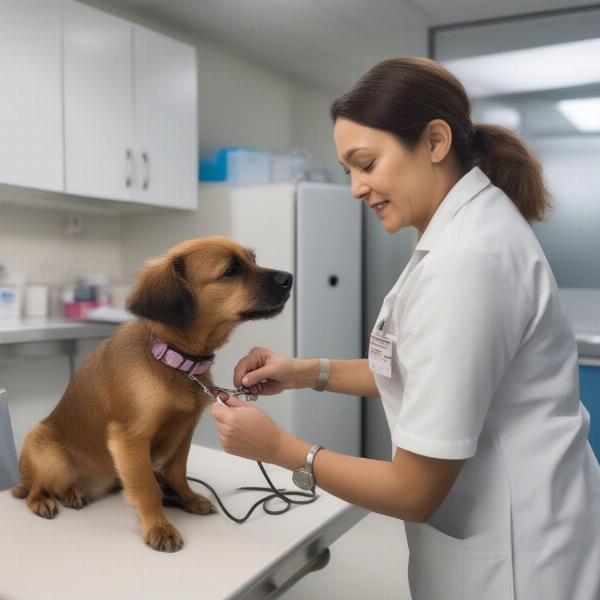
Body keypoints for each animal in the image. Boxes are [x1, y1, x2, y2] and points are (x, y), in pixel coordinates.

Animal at [11, 236, 292, 552]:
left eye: (253, 259)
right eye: (231, 270)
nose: (289, 278)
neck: (171, 361)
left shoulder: (184, 430)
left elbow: (177, 471)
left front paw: (187, 497)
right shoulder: (130, 439)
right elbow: (146, 489)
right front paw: (159, 527)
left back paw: (73, 493)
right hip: (43, 446)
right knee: (34, 488)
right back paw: (43, 500)